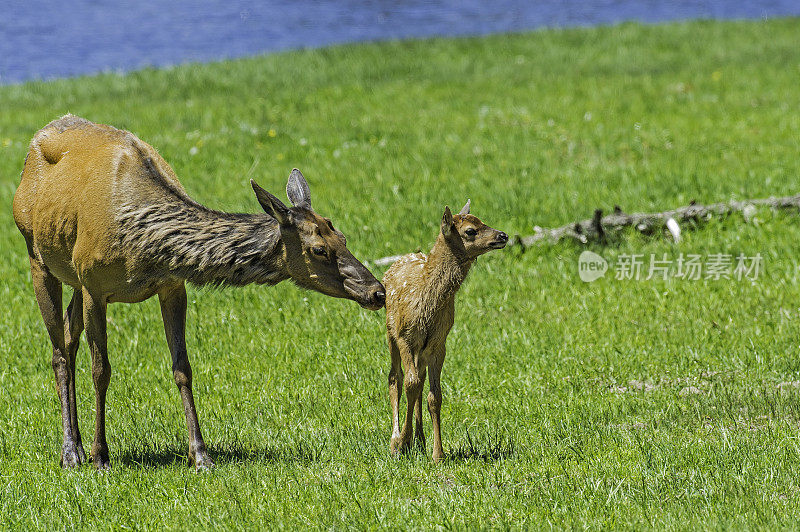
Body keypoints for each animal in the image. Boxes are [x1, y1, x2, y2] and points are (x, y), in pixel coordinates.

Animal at [13, 116, 384, 470]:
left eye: (343, 238)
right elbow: (101, 370)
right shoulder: (95, 285)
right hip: (37, 254)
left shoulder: (172, 285)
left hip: (72, 275)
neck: (141, 245)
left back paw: (73, 445)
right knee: (59, 352)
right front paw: (100, 455)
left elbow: (183, 367)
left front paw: (200, 454)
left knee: (68, 335)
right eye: (319, 249)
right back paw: (71, 451)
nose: (378, 292)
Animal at [382, 201, 506, 462]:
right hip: (390, 334)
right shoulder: (405, 336)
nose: (503, 235)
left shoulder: (439, 343)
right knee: (395, 378)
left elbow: (434, 395)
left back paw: (420, 440)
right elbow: (409, 383)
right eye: (470, 230)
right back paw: (397, 440)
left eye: (482, 220)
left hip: (421, 349)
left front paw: (437, 453)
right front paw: (401, 443)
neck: (427, 301)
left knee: (418, 381)